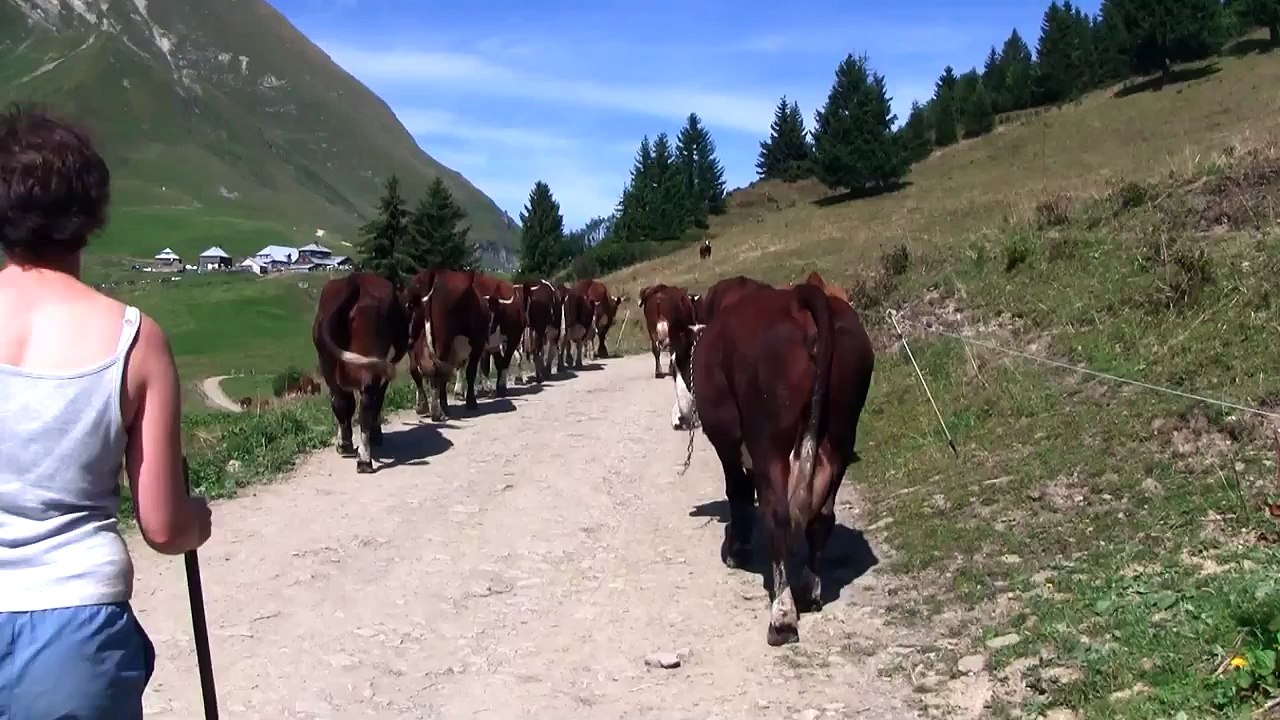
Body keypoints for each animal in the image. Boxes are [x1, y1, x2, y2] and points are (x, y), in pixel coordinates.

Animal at [312, 272, 409, 474]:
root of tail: (355, 279)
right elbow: (378, 402)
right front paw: (376, 433)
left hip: (328, 364)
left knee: (341, 403)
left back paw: (348, 447)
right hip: (369, 365)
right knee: (365, 405)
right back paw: (363, 456)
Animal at [402, 269, 498, 421]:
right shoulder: (477, 344)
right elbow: (469, 372)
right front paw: (470, 401)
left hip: (413, 341)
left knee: (418, 370)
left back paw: (423, 406)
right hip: (444, 339)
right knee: (436, 371)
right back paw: (437, 412)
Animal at [673, 273, 875, 646]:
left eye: (678, 360)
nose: (680, 417)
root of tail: (800, 299)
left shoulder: (727, 441)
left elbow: (738, 492)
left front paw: (737, 548)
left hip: (769, 439)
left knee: (779, 516)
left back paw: (782, 616)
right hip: (842, 432)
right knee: (822, 516)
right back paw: (809, 590)